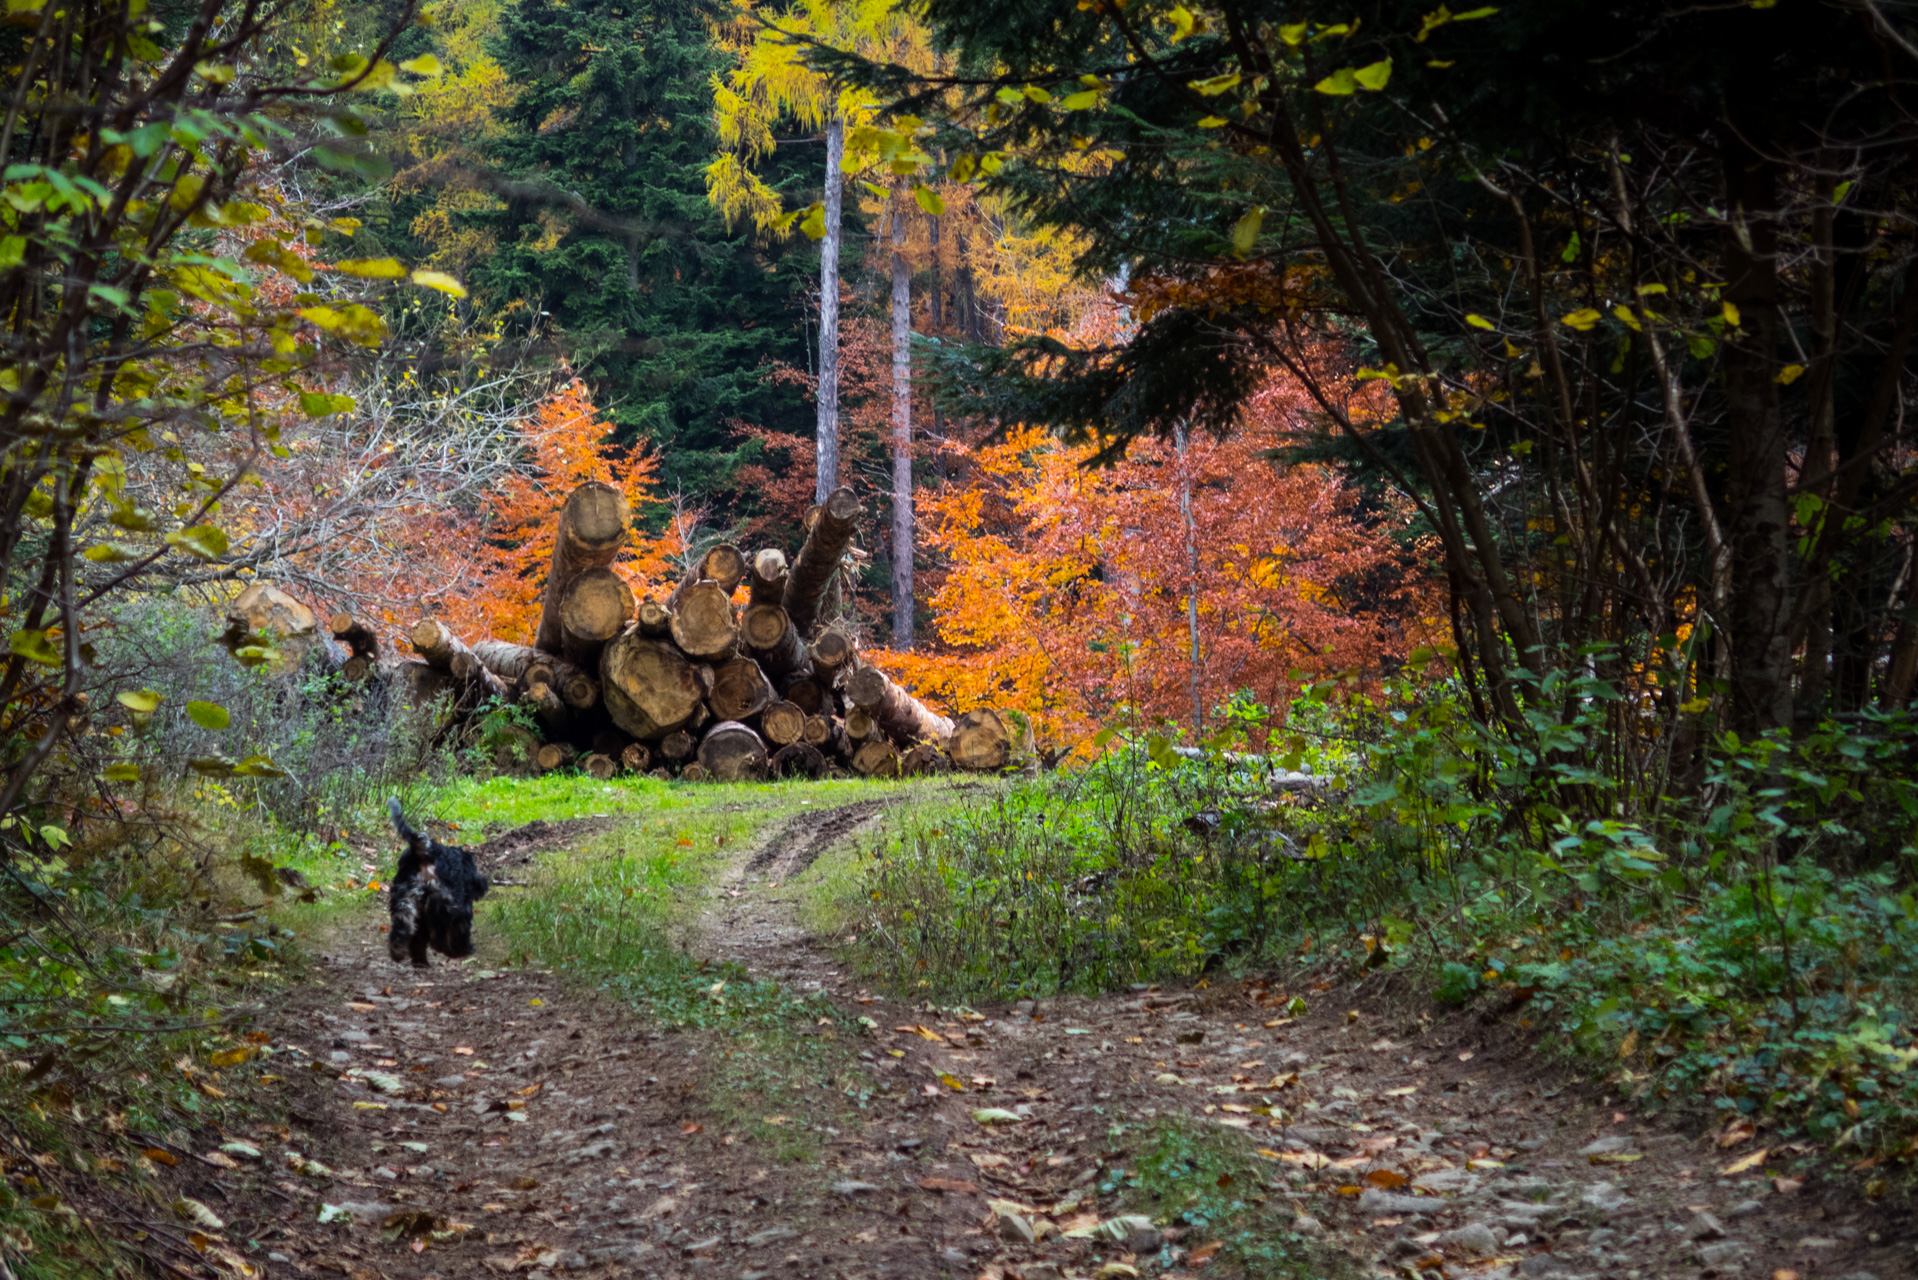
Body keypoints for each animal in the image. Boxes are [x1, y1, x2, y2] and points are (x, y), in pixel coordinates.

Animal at [383, 794, 487, 967]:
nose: (483, 884)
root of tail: (427, 849)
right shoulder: (463, 908)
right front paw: (463, 950)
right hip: (443, 900)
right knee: (439, 927)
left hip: (404, 896)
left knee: (403, 925)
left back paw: (400, 952)